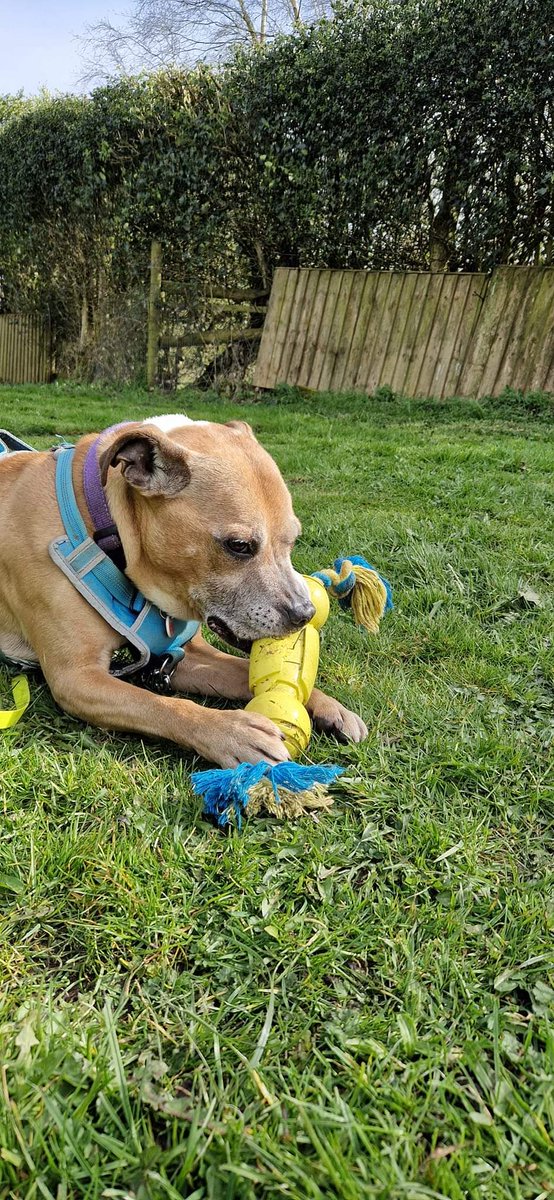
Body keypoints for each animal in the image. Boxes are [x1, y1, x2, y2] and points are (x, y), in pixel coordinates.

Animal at [0, 417, 366, 763]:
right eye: (239, 546)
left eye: (293, 540)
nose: (305, 614)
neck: (103, 527)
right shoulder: (76, 679)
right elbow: (161, 705)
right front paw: (231, 731)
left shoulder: (182, 657)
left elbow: (242, 670)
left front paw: (328, 705)